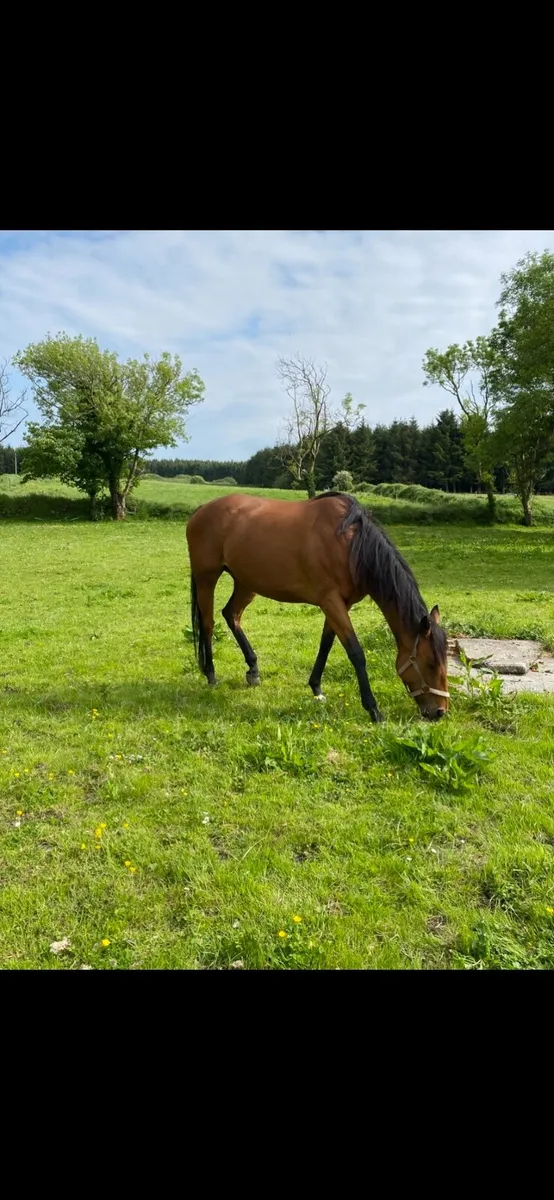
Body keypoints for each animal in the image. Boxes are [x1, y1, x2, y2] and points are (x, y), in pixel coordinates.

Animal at [186, 491, 449, 722]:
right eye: (430, 664)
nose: (439, 712)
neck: (350, 545)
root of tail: (201, 510)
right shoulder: (331, 601)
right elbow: (355, 652)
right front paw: (373, 709)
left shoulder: (339, 604)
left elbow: (326, 644)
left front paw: (316, 688)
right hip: (207, 577)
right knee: (208, 624)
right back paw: (211, 675)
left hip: (245, 582)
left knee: (232, 614)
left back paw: (253, 670)